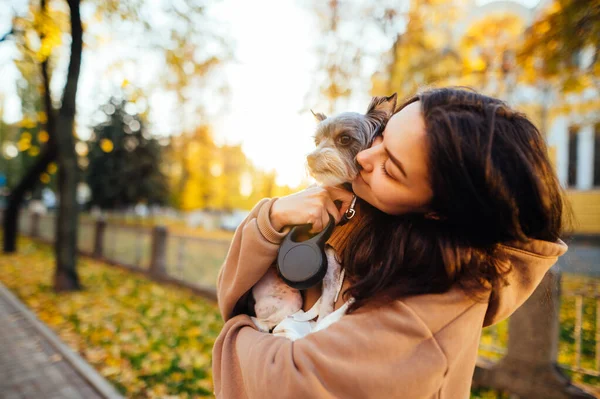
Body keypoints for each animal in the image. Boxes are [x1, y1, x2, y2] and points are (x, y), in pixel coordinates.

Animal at [250, 94, 398, 334]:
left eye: (345, 139)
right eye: (317, 142)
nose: (310, 158)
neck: (354, 202)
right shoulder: (330, 263)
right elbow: (327, 306)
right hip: (287, 300)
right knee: (266, 323)